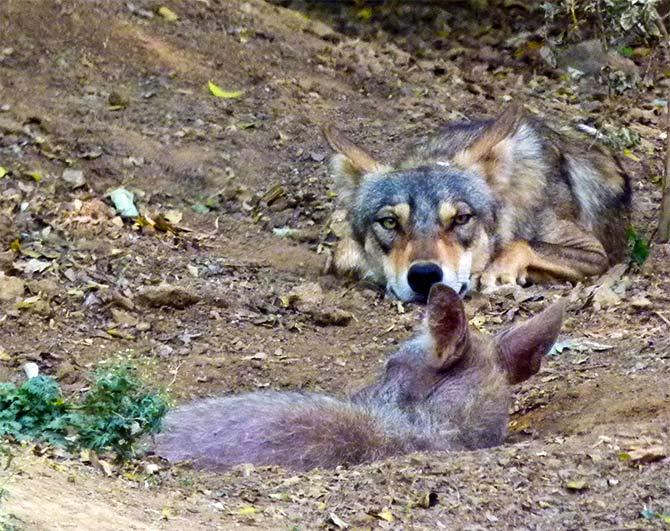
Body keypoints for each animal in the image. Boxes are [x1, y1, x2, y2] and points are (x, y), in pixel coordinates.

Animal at [326, 105, 632, 304]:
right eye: (390, 222)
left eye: (461, 219)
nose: (424, 276)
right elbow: (341, 254)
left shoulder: (596, 254)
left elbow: (522, 245)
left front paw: (498, 271)